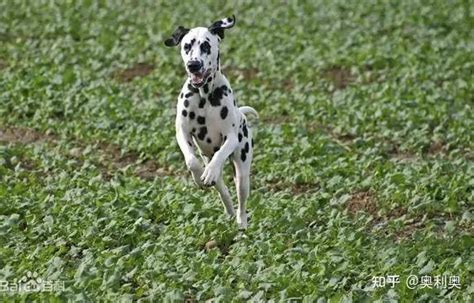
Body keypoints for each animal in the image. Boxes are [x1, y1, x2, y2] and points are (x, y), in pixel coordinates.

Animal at [165, 13, 258, 228]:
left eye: (206, 45)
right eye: (187, 46)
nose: (193, 65)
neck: (204, 96)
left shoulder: (231, 137)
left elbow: (220, 154)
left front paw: (208, 173)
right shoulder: (182, 132)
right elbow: (191, 161)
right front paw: (200, 178)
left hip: (242, 171)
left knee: (241, 201)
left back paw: (241, 223)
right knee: (223, 191)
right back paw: (227, 208)